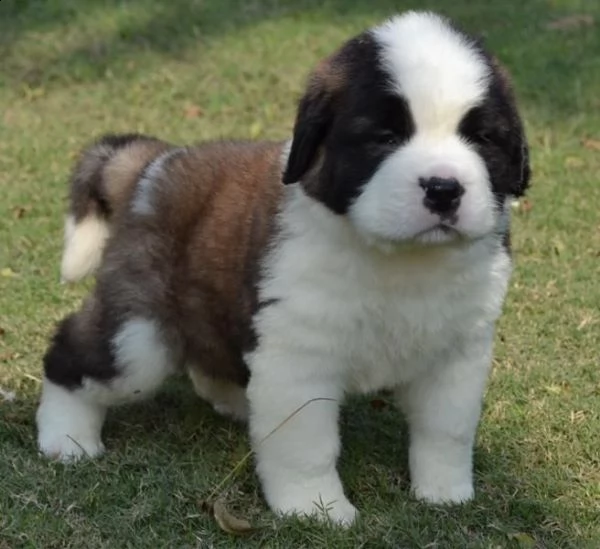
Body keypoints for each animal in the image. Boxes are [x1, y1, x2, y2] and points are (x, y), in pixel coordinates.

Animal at [36, 10, 528, 524]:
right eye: (385, 138)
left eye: (481, 138)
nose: (444, 189)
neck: (400, 260)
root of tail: (155, 164)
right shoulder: (298, 358)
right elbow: (306, 444)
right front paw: (315, 508)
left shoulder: (458, 354)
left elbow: (446, 430)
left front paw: (445, 492)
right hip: (139, 334)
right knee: (75, 356)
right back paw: (66, 437)